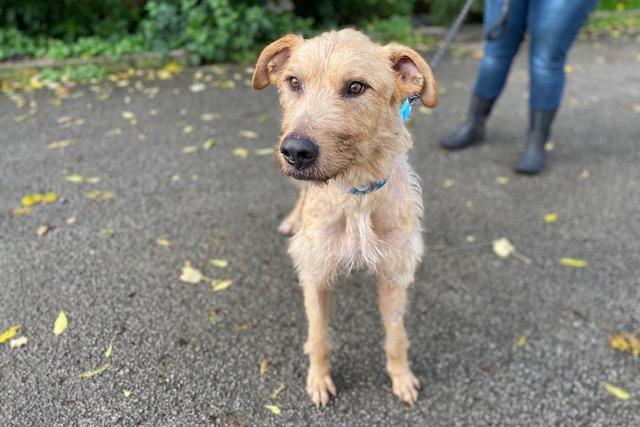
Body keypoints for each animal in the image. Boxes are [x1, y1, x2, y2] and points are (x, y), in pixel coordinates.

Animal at [252, 28, 438, 406]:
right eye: (294, 82)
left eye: (355, 87)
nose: (295, 152)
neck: (358, 195)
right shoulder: (316, 274)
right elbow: (318, 336)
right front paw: (319, 379)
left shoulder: (394, 274)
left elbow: (396, 336)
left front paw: (401, 378)